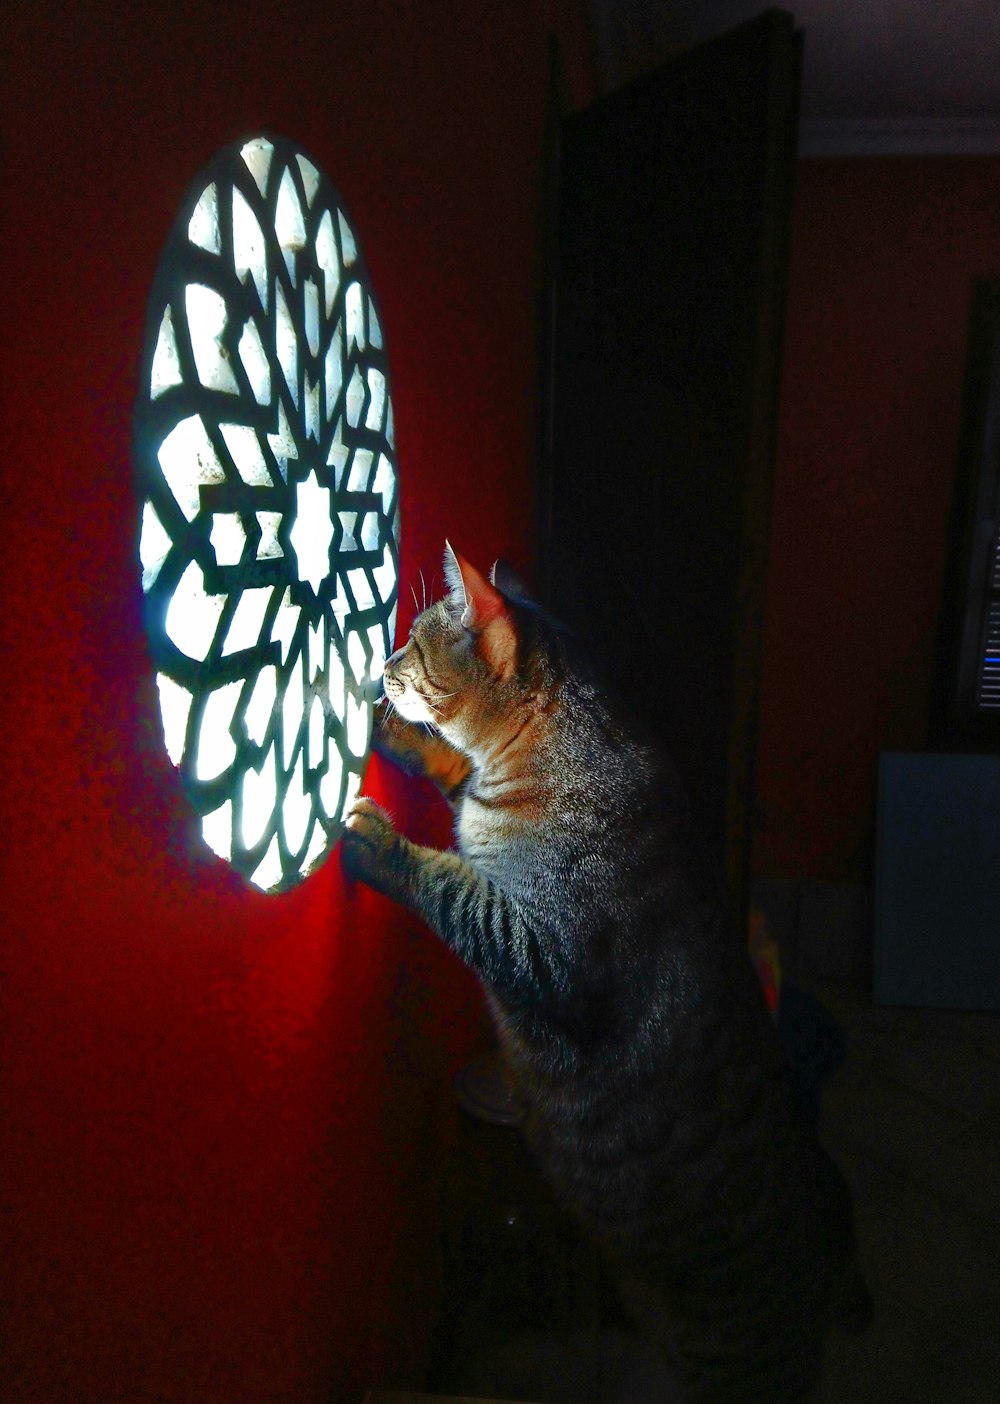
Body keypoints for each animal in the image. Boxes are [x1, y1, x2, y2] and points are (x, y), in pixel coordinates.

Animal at [339, 541, 865, 1398]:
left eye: (413, 642)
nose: (382, 664)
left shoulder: (546, 951)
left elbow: (451, 886)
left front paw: (376, 841)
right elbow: (451, 767)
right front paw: (405, 741)